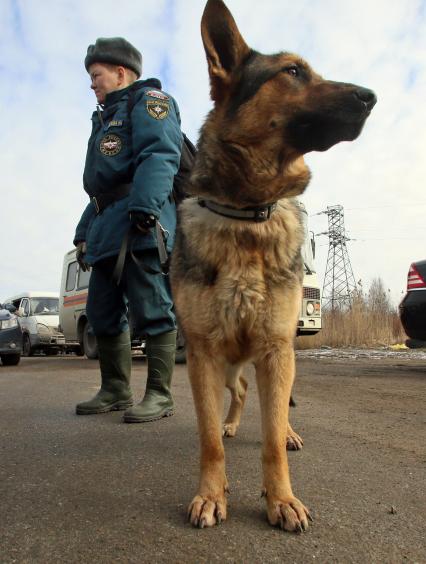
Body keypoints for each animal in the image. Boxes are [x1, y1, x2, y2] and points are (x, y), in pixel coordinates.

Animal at [170, 0, 376, 532]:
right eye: (293, 72)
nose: (371, 96)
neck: (248, 214)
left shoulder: (277, 349)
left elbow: (271, 440)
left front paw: (281, 498)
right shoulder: (202, 355)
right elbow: (209, 441)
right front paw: (211, 493)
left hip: (279, 358)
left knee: (274, 408)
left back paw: (287, 432)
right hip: (225, 366)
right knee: (240, 392)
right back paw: (232, 421)